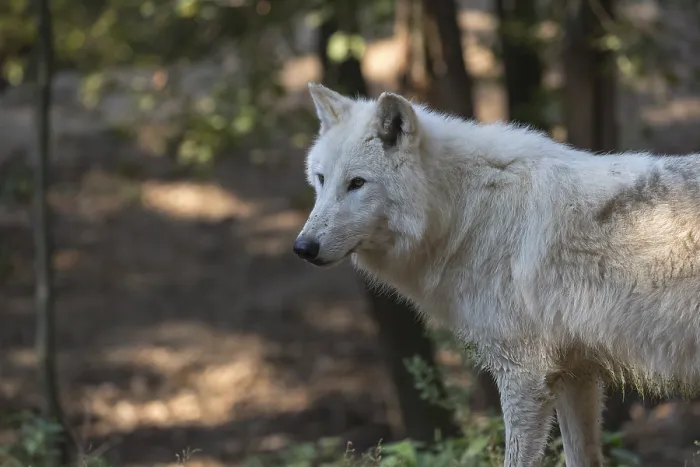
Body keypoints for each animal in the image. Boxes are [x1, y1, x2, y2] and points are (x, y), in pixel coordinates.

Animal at [292, 83, 700, 467]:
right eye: (321, 179)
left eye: (357, 183)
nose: (303, 247)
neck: (463, 213)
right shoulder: (575, 373)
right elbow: (581, 456)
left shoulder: (525, 374)